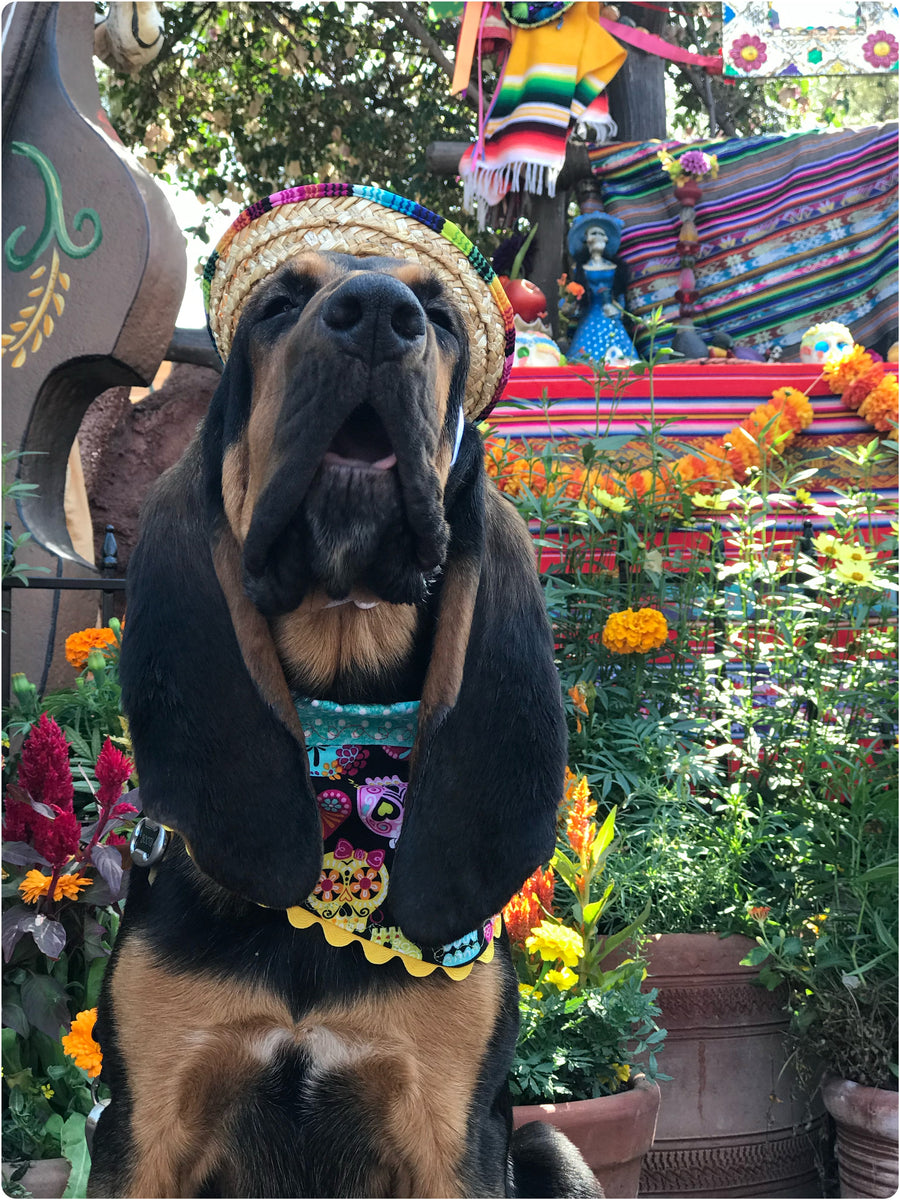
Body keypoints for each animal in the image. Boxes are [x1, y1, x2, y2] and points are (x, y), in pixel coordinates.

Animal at [88, 187, 602, 1200]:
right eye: (279, 306)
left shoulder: (453, 1135)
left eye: (438, 317)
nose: (375, 316)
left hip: (551, 1150)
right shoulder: (142, 1128)